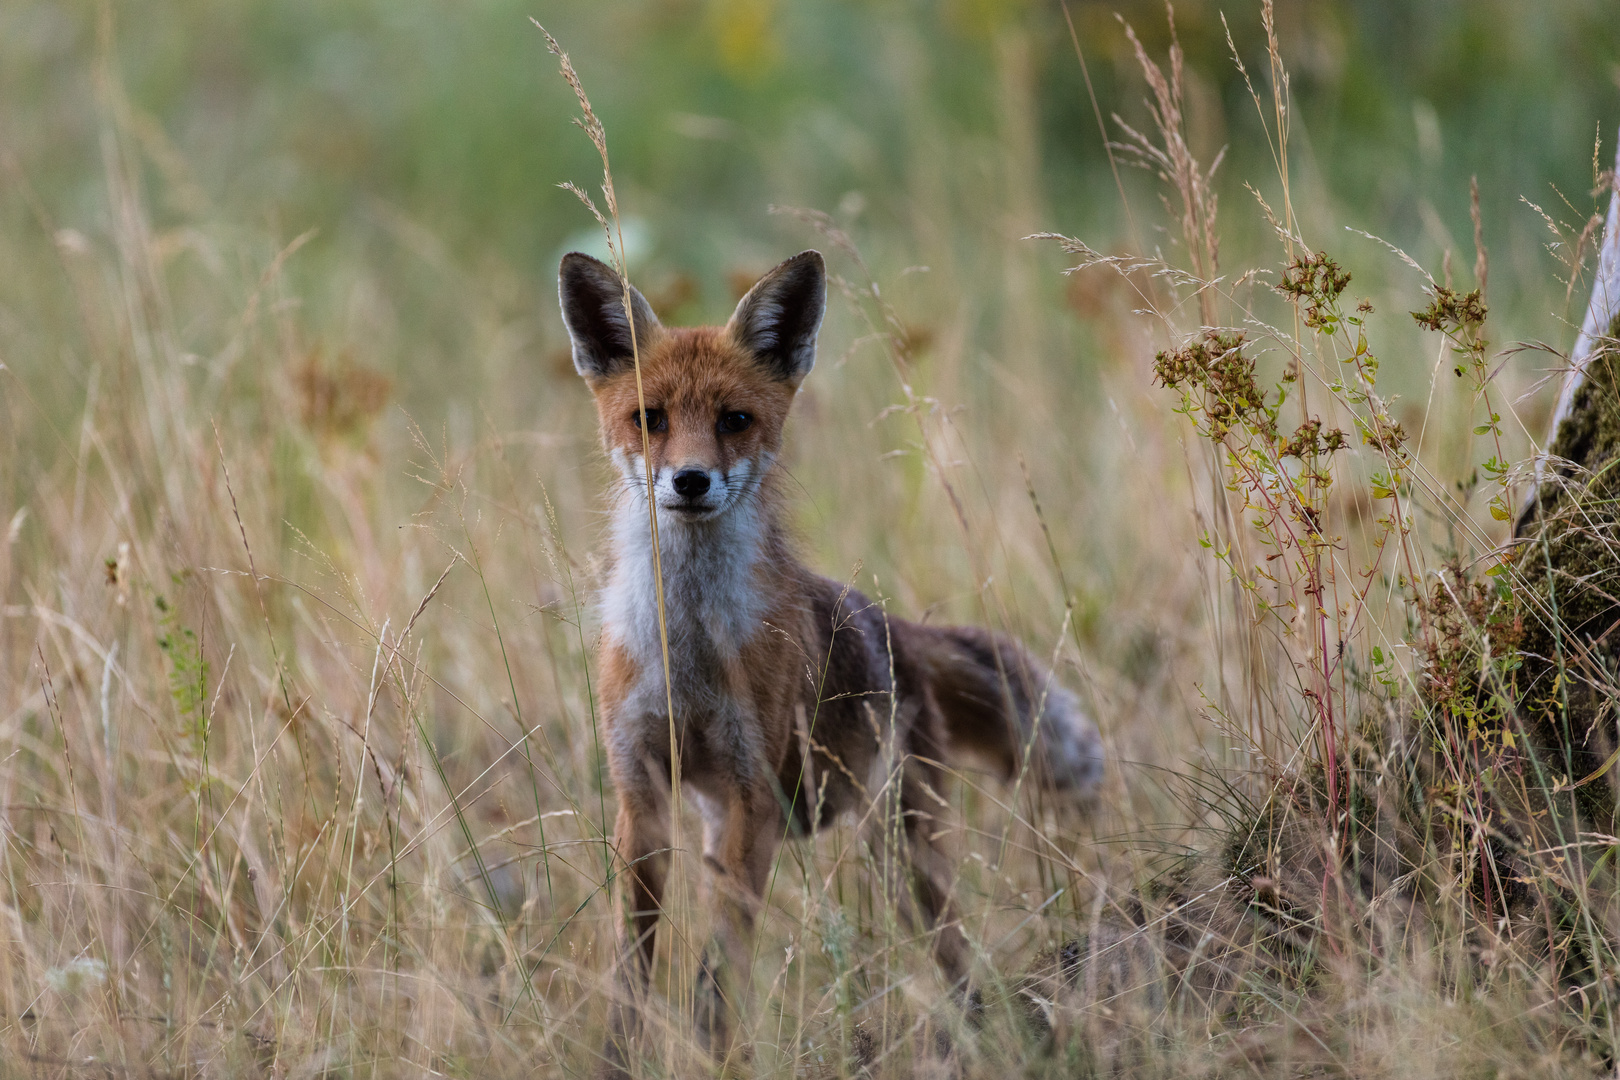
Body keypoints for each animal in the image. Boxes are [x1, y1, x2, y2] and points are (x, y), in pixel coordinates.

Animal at [557, 247, 1101, 1075]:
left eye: (734, 420)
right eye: (649, 420)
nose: (690, 481)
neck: (686, 649)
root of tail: (896, 626)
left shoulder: (752, 794)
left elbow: (718, 975)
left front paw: (720, 1055)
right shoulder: (641, 796)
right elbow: (633, 967)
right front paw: (620, 1055)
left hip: (904, 852)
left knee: (957, 958)